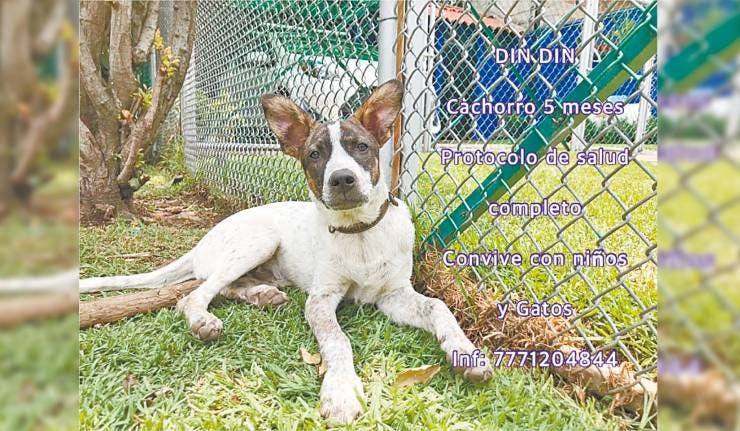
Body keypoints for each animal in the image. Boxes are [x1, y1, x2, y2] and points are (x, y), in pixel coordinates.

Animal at [80, 79, 493, 423]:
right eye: (314, 155)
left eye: (362, 147)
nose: (342, 180)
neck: (358, 234)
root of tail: (202, 241)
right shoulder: (321, 300)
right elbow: (338, 342)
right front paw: (341, 392)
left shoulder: (394, 295)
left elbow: (438, 307)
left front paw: (465, 352)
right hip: (258, 241)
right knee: (195, 295)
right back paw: (205, 320)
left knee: (225, 287)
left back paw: (263, 295)